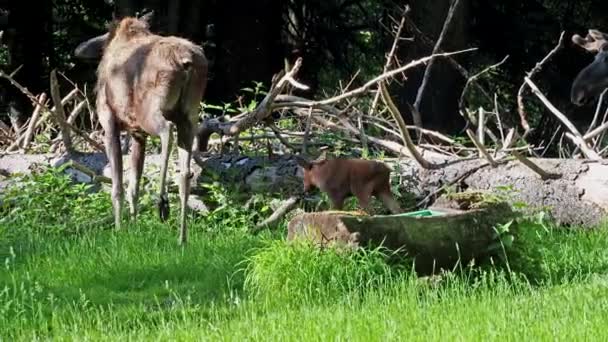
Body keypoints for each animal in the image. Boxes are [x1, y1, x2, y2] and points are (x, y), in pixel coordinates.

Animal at [72, 12, 207, 244]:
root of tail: (187, 63)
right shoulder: (137, 133)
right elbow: (133, 185)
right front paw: (133, 226)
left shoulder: (108, 121)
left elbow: (117, 185)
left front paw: (119, 229)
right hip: (189, 115)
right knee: (185, 172)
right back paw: (182, 237)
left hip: (152, 110)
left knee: (166, 132)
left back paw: (162, 203)